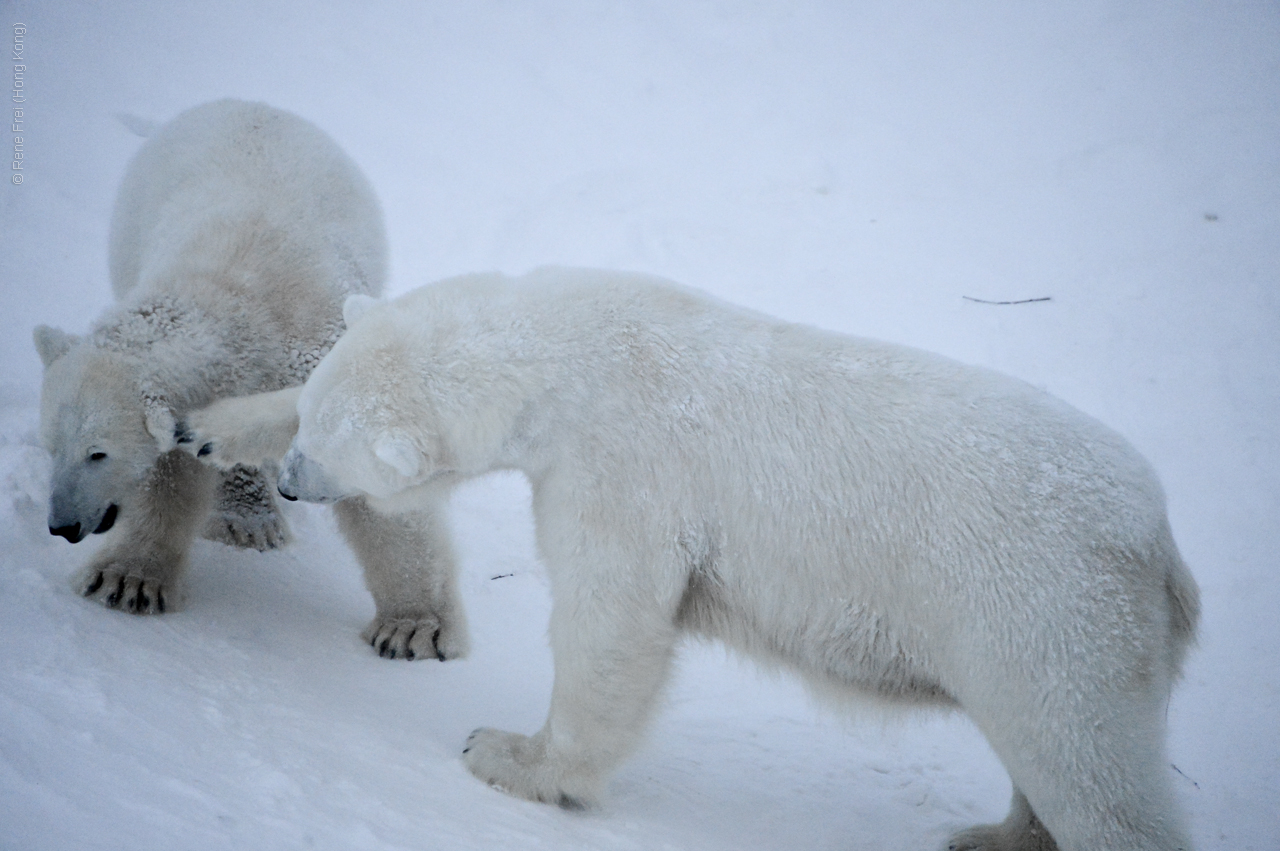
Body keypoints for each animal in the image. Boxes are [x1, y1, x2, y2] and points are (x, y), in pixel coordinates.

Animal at [32, 97, 468, 655]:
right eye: (51, 446)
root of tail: (243, 102)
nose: (62, 525)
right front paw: (126, 581)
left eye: (97, 453)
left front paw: (414, 629)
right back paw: (246, 519)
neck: (237, 303)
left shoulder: (317, 346)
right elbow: (172, 474)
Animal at [183, 267, 1198, 849]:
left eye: (331, 448)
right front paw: (204, 427)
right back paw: (992, 835)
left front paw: (509, 754)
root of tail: (1159, 547)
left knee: (1089, 766)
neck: (570, 345)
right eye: (311, 424)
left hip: (1043, 612)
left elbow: (613, 622)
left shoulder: (623, 463)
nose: (291, 481)